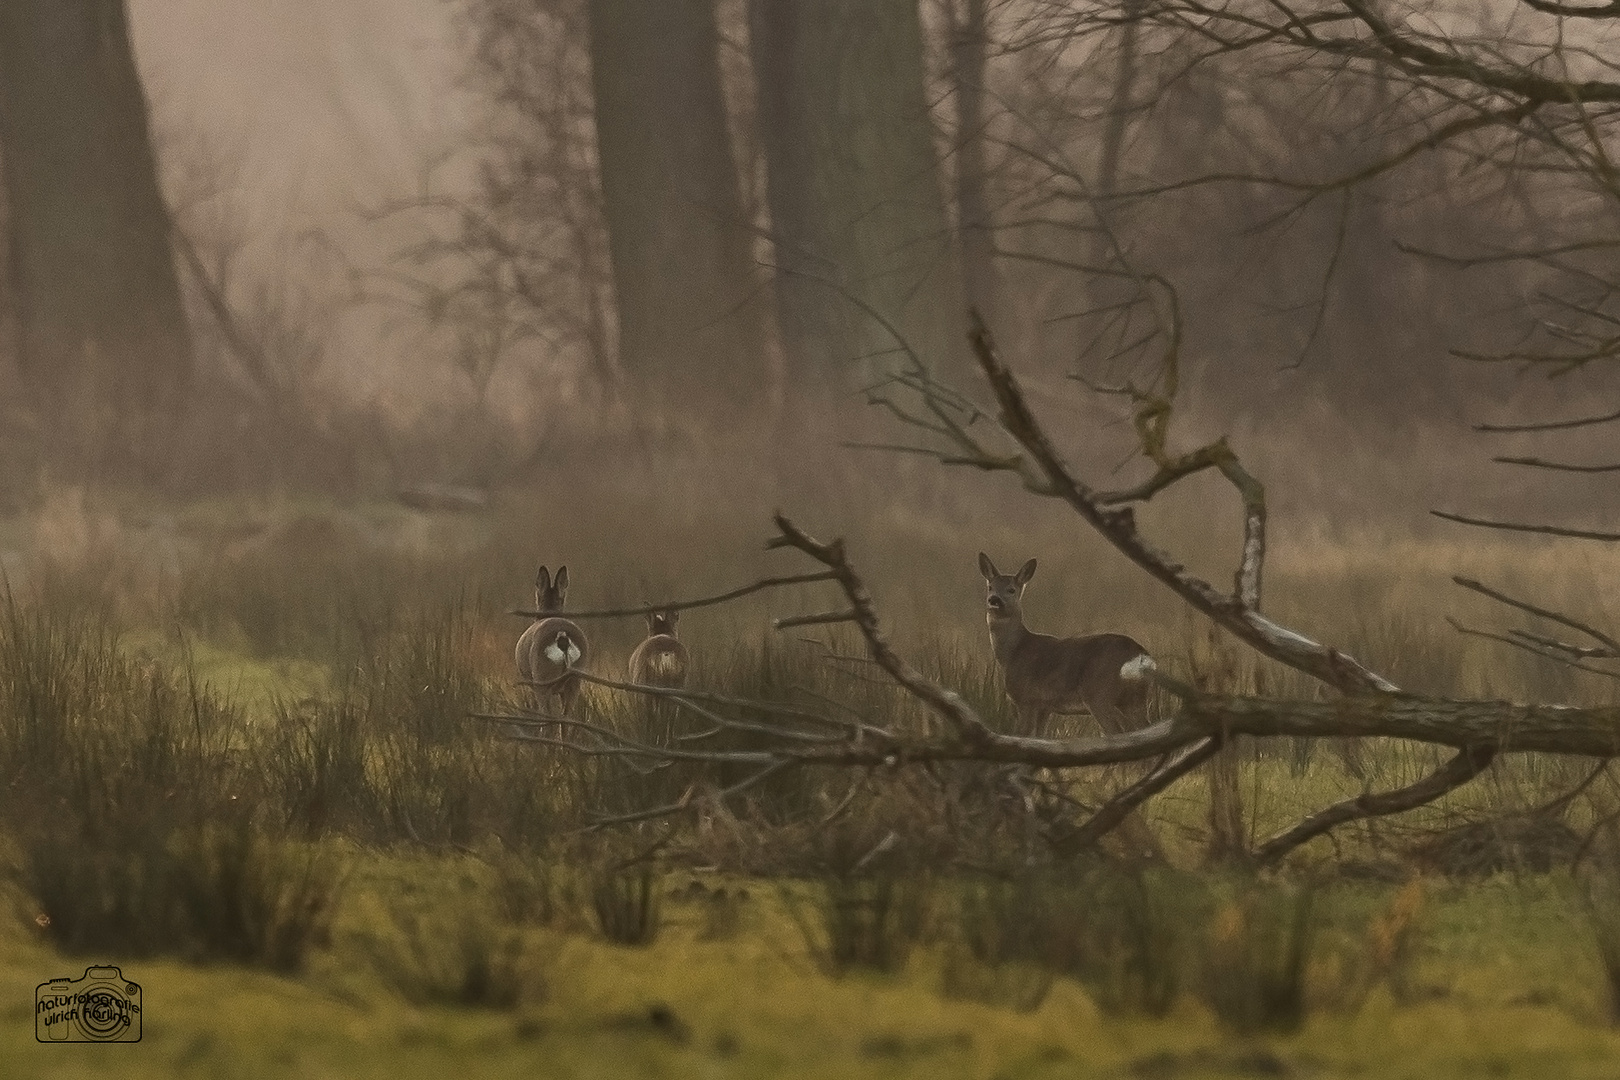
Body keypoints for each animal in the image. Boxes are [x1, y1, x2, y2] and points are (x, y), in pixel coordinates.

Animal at [978, 553, 1159, 738]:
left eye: (1011, 590)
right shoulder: (1044, 707)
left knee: (1117, 731)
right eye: (990, 587)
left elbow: (1023, 734)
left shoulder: (1026, 699)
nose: (994, 600)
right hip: (1134, 699)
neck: (1014, 652)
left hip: (1099, 695)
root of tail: (1140, 654)